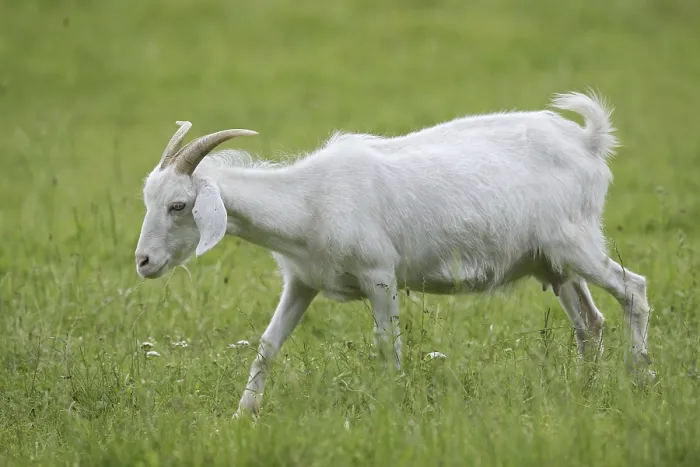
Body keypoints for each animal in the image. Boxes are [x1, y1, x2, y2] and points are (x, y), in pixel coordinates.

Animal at [134, 91, 654, 418]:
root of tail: (588, 142)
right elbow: (268, 344)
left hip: (576, 243)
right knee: (589, 322)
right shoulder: (302, 282)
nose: (143, 263)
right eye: (148, 199)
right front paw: (244, 413)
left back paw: (638, 378)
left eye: (178, 206)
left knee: (633, 290)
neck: (310, 200)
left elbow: (388, 345)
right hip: (554, 263)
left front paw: (392, 406)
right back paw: (585, 389)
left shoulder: (380, 275)